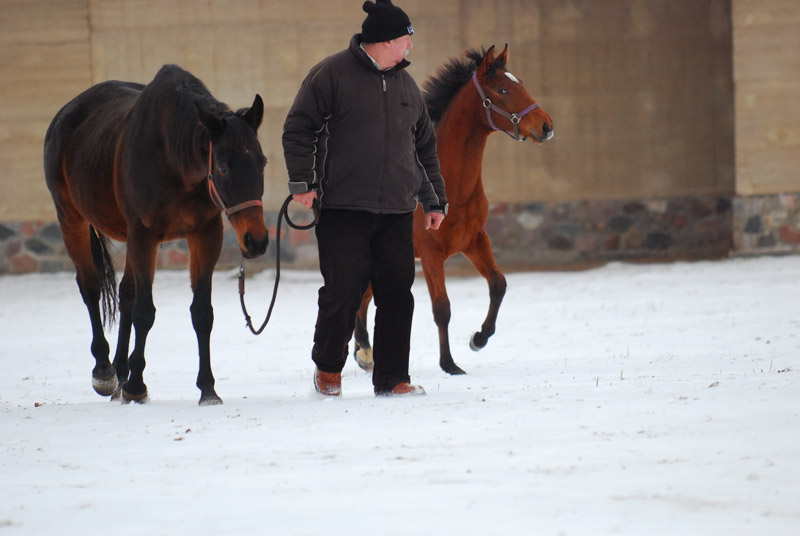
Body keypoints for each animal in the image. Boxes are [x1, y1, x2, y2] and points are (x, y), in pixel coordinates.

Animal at [44, 65, 268, 404]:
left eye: (262, 162)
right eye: (224, 166)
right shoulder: (144, 237)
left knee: (125, 293)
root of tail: (63, 115)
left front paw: (207, 388)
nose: (257, 240)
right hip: (71, 218)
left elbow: (201, 313)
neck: (172, 157)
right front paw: (137, 385)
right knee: (91, 286)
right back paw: (106, 372)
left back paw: (121, 374)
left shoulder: (205, 235)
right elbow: (145, 312)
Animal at [354, 45, 552, 372]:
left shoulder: (475, 241)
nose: (546, 125)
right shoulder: (431, 254)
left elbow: (498, 284)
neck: (451, 188)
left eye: (521, 82)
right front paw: (449, 364)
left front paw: (478, 339)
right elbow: (442, 308)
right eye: (503, 89)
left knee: (364, 296)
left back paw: (364, 352)